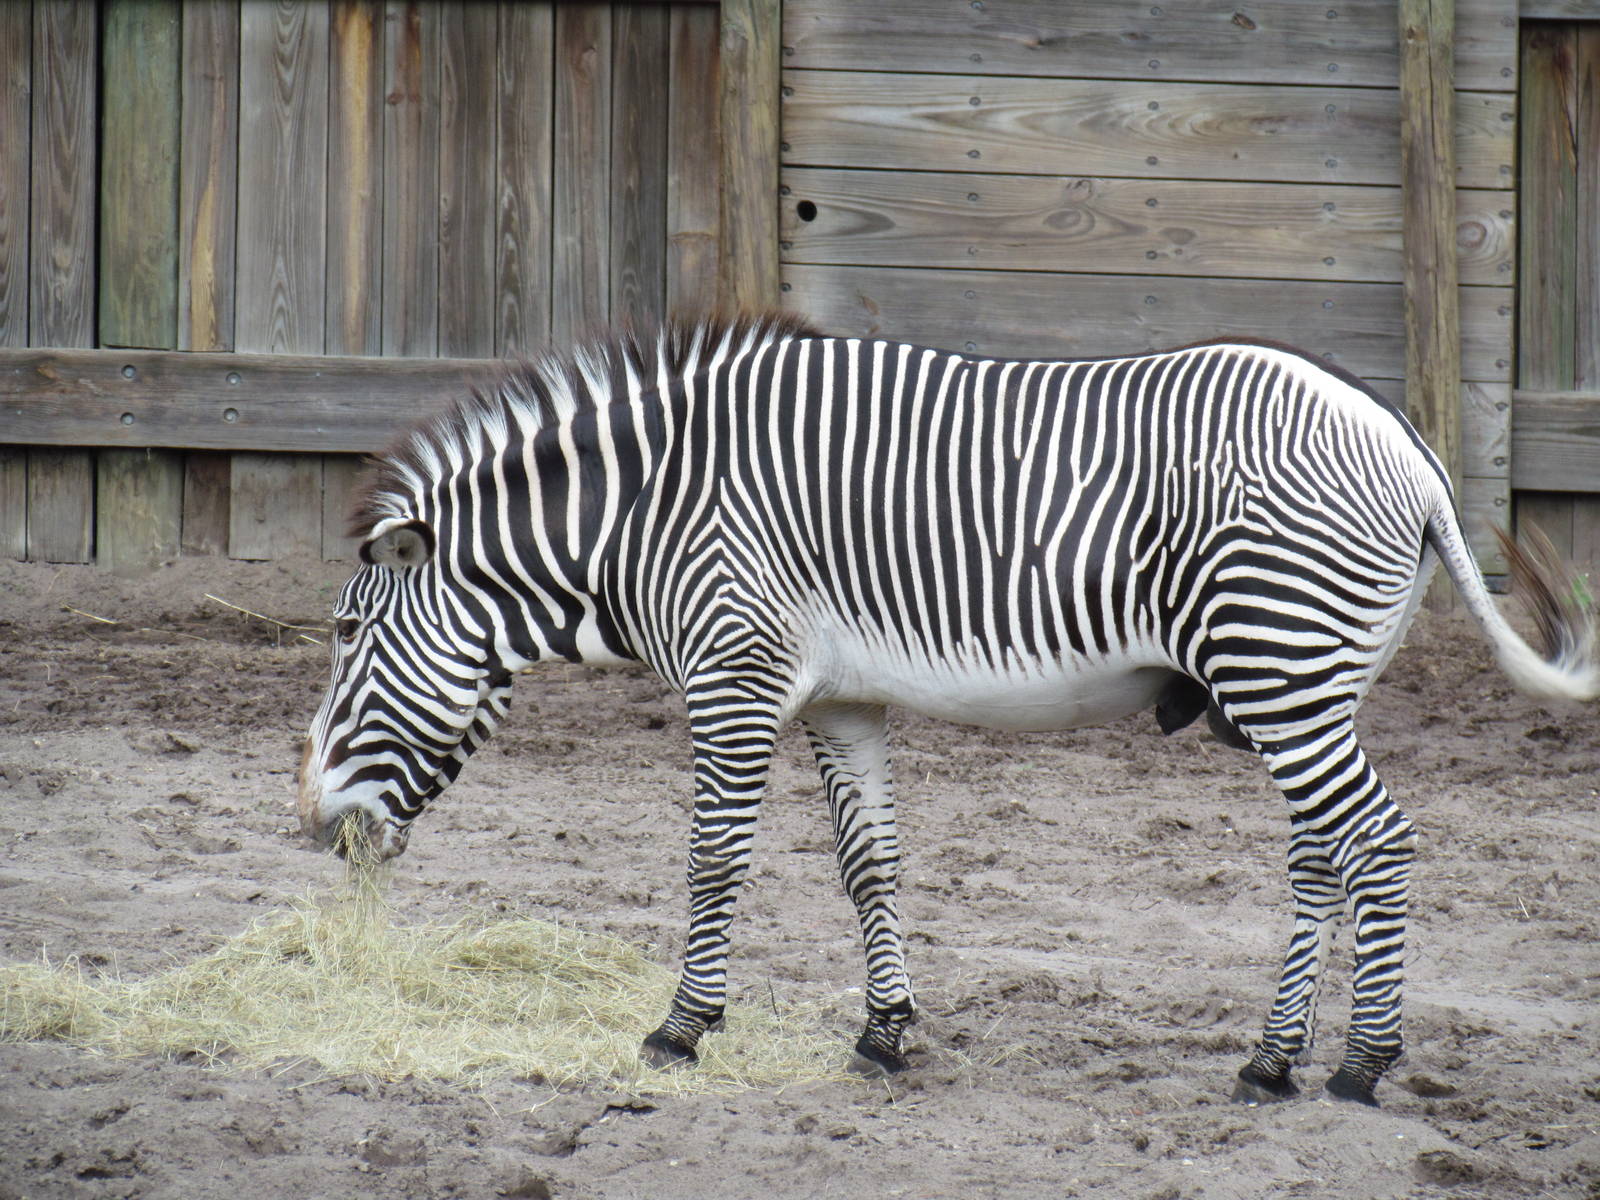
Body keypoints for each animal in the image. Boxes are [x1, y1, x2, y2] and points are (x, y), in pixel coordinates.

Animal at [298, 313, 1597, 1107]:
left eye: (349, 634)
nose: (311, 829)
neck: (645, 513)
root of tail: (1406, 446)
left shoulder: (736, 677)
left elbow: (714, 861)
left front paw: (680, 1029)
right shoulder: (842, 698)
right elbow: (867, 864)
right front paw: (884, 1033)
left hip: (1278, 667)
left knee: (1376, 841)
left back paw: (1364, 1062)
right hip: (1300, 683)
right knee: (1324, 854)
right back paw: (1272, 1059)